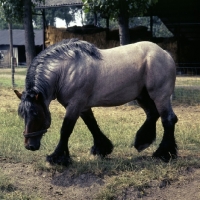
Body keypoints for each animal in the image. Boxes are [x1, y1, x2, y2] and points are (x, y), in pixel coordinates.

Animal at [15, 38, 178, 166]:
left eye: (36, 114)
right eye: (22, 115)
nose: (29, 146)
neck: (66, 71)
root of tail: (165, 53)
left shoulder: (75, 105)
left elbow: (66, 130)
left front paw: (57, 157)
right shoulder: (82, 106)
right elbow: (92, 125)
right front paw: (102, 148)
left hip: (160, 96)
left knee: (168, 119)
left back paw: (164, 153)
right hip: (143, 96)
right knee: (153, 114)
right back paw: (143, 141)